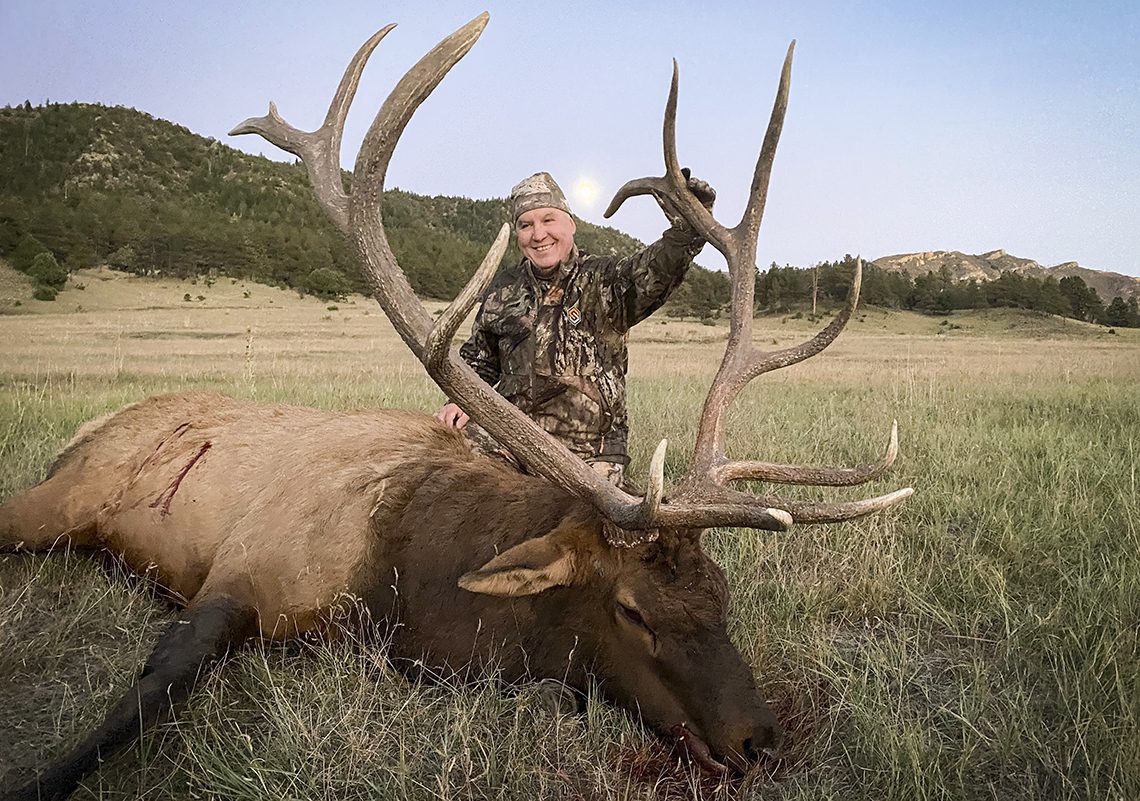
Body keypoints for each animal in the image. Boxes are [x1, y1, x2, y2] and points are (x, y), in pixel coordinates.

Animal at [0, 13, 912, 801]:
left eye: (722, 592)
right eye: (632, 609)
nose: (760, 737)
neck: (400, 583)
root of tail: (89, 428)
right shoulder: (240, 569)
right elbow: (145, 694)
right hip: (65, 496)